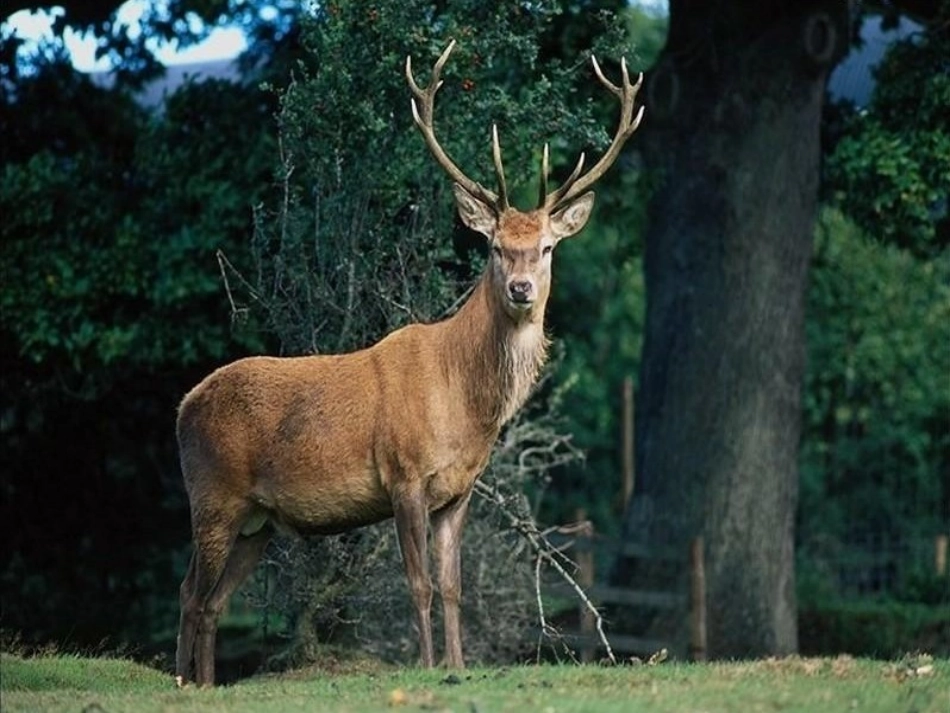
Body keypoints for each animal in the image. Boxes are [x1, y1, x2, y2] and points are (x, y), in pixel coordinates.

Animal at [175, 41, 644, 688]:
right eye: (495, 246)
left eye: (547, 247)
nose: (522, 289)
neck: (464, 407)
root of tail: (182, 406)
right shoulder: (403, 473)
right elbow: (417, 584)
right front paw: (425, 667)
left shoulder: (458, 490)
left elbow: (452, 587)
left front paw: (459, 665)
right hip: (212, 493)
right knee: (191, 592)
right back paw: (181, 681)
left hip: (257, 519)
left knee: (211, 599)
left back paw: (203, 683)